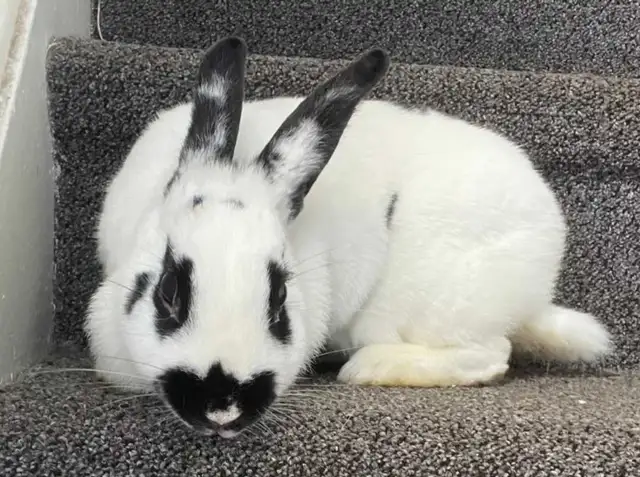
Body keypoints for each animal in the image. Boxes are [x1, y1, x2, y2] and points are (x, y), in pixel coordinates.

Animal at [85, 36, 613, 438]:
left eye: (280, 298)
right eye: (168, 289)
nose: (223, 409)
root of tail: (536, 290)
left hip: (424, 306)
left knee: (491, 353)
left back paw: (368, 368)